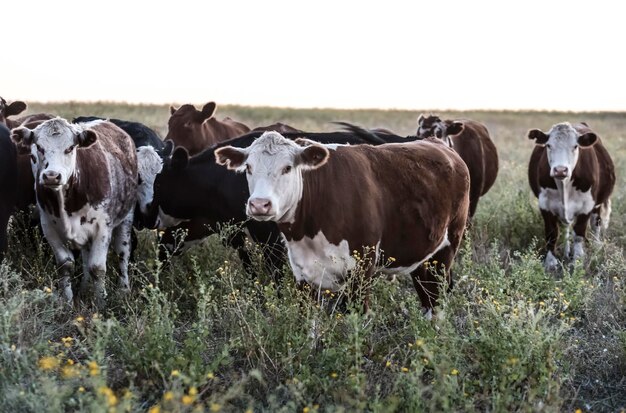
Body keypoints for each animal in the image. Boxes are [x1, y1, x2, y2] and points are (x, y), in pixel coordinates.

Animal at [10, 117, 138, 308]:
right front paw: (68, 302)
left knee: (123, 252)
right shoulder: (49, 227)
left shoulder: (103, 228)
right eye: (39, 147)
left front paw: (101, 303)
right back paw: (85, 287)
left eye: (70, 148)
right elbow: (66, 265)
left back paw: (124, 288)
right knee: (85, 256)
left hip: (126, 218)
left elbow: (97, 267)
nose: (51, 176)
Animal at [214, 130, 468, 310]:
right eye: (248, 167)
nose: (259, 204)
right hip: (421, 255)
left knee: (435, 300)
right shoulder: (302, 274)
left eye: (287, 168)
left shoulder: (361, 271)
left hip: (445, 251)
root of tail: (438, 144)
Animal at [524, 121, 612, 270]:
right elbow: (552, 233)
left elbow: (579, 233)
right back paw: (566, 252)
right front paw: (551, 262)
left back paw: (596, 246)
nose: (560, 170)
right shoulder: (545, 204)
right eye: (548, 145)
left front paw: (577, 259)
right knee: (565, 228)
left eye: (575, 146)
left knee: (596, 224)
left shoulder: (587, 206)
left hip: (597, 205)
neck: (564, 185)